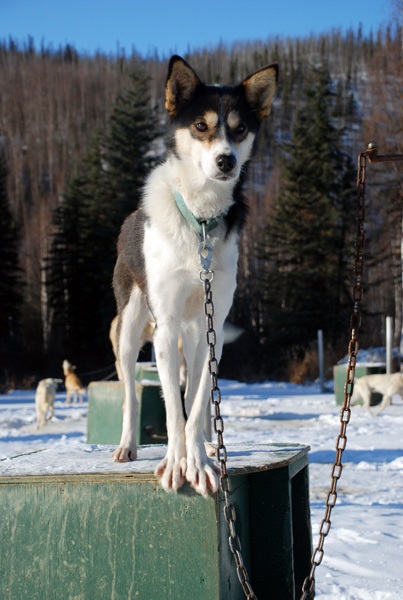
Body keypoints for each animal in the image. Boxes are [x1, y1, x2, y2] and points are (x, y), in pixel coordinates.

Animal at [112, 55, 280, 496]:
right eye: (201, 126)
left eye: (239, 129)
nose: (227, 161)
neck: (200, 219)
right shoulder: (166, 327)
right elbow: (172, 408)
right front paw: (176, 463)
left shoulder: (212, 326)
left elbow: (199, 399)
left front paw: (200, 463)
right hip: (131, 328)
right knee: (131, 395)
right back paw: (127, 445)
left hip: (193, 332)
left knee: (197, 402)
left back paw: (202, 442)